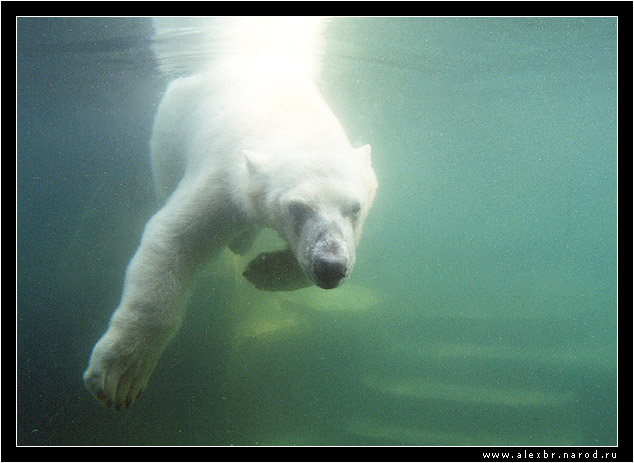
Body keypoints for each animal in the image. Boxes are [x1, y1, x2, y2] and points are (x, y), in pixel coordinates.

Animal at [80, 18, 376, 410]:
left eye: (354, 208)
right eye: (297, 208)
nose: (330, 267)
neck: (290, 118)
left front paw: (264, 269)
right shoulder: (225, 176)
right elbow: (173, 240)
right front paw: (119, 376)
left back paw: (243, 243)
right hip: (168, 132)